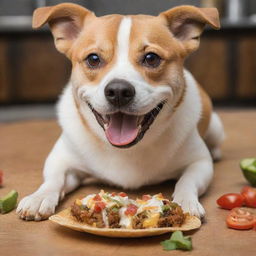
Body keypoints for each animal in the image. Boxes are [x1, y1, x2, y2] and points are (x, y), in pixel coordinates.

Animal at [16, 3, 224, 220]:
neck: (127, 149)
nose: (118, 91)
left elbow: (187, 180)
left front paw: (185, 201)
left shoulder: (199, 162)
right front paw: (40, 197)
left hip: (216, 127)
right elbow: (54, 178)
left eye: (151, 58)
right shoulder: (61, 159)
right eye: (93, 59)